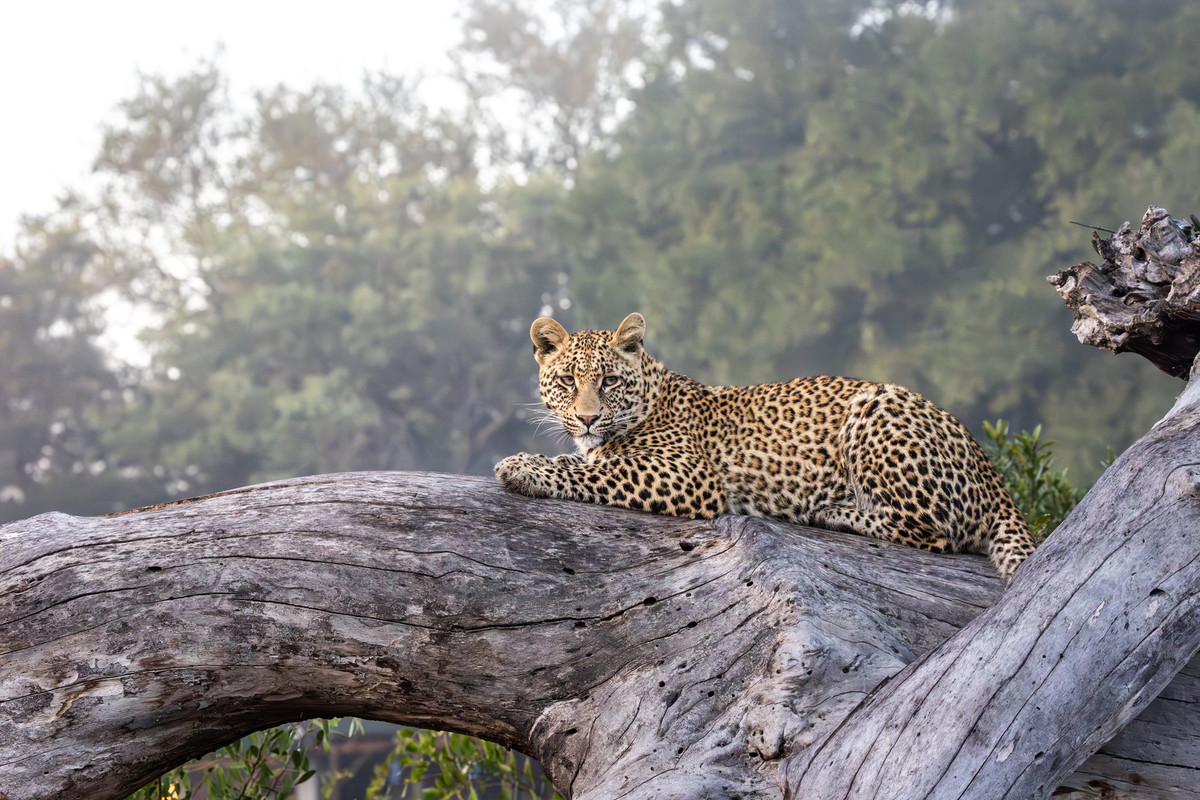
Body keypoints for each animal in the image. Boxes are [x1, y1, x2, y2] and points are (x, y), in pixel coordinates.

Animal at [494, 312, 1036, 579]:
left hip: (876, 406)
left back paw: (831, 511)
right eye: (567, 381)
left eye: (608, 381)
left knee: (933, 532)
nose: (587, 418)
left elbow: (590, 470)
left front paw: (522, 466)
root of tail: (991, 472)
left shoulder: (688, 474)